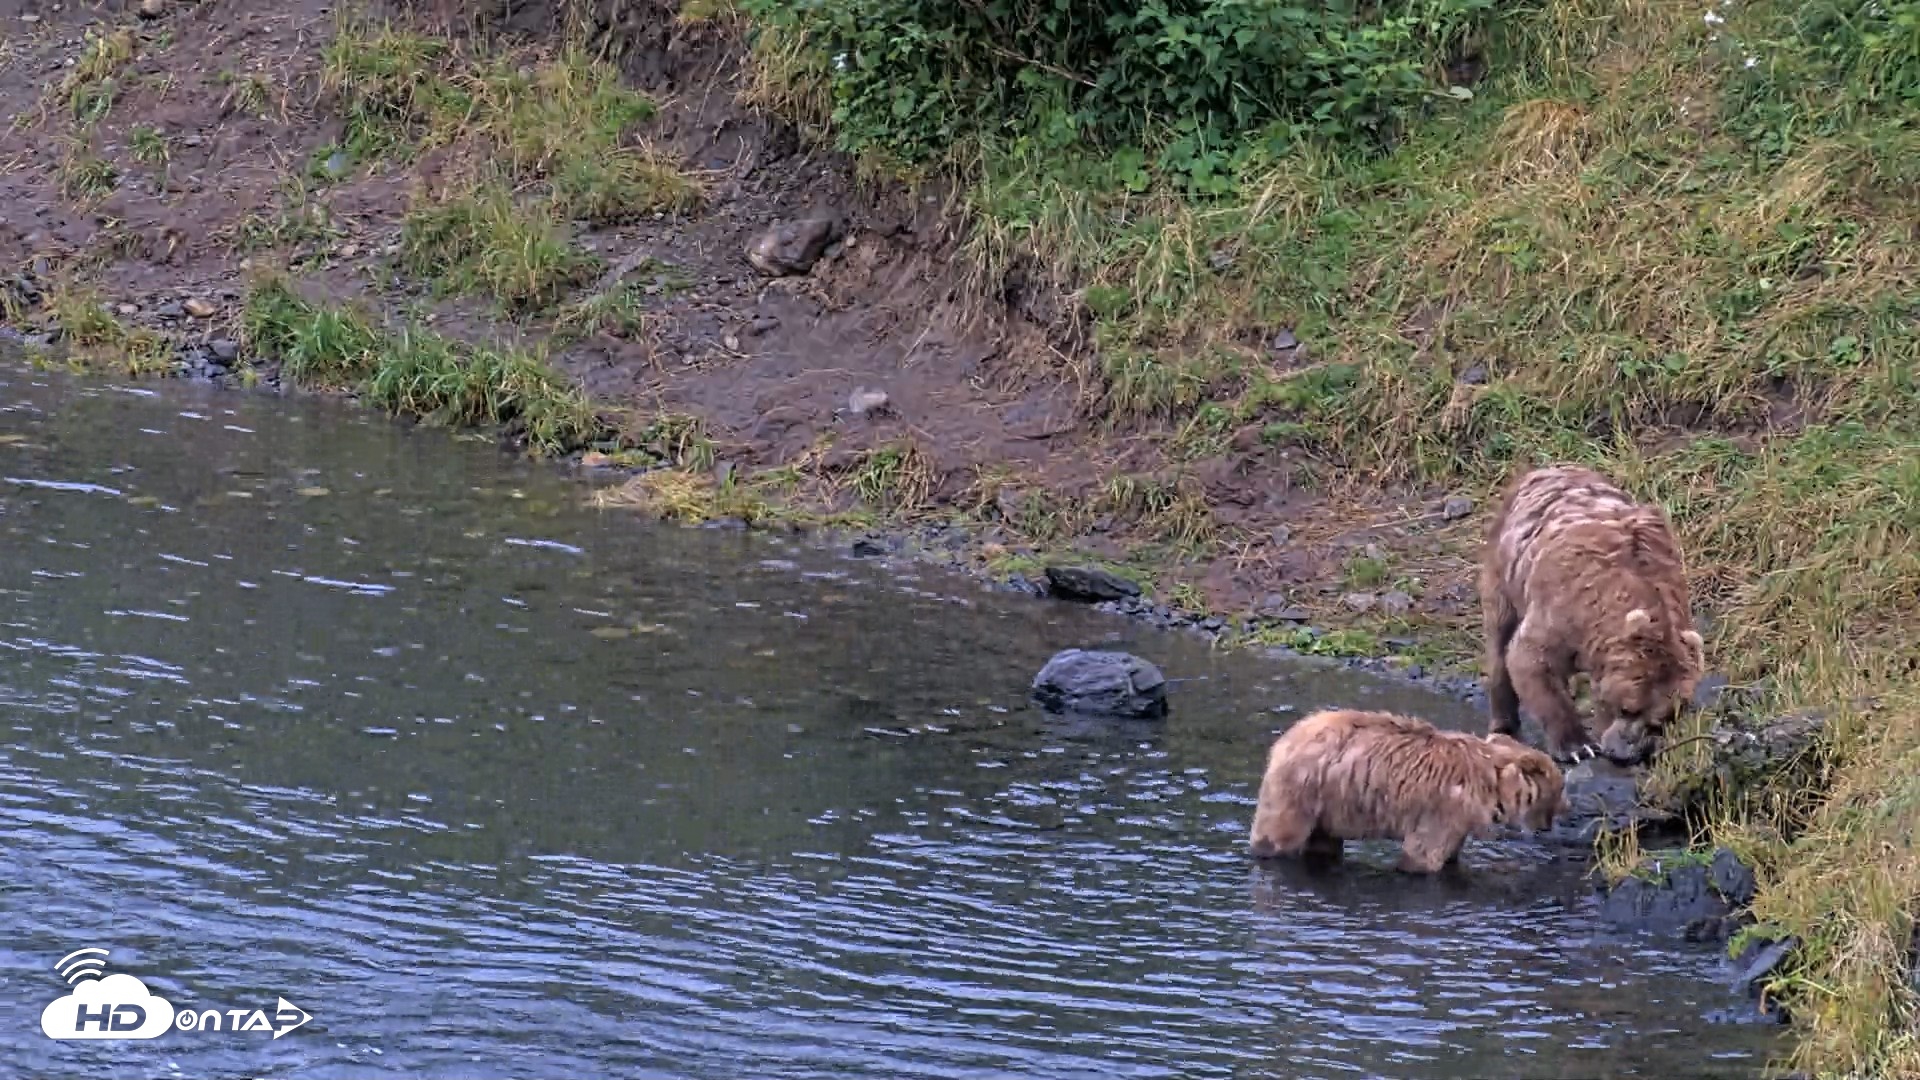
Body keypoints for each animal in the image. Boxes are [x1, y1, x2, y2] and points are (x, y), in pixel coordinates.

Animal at [1246, 708, 1568, 874]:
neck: (1490, 784)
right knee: (1281, 834)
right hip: (1303, 789)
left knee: (1324, 841)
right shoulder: (1443, 808)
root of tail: (1286, 738)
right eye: (1556, 793)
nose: (1549, 824)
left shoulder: (1459, 819)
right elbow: (1422, 855)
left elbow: (1450, 853)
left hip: (1329, 803)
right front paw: (1413, 867)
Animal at [1479, 464, 1706, 766]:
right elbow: (1529, 660)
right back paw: (1504, 722)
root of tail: (1544, 469)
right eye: (1627, 708)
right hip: (1505, 566)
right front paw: (1577, 745)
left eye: (1663, 718)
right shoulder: (1561, 606)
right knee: (1499, 636)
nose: (1629, 754)